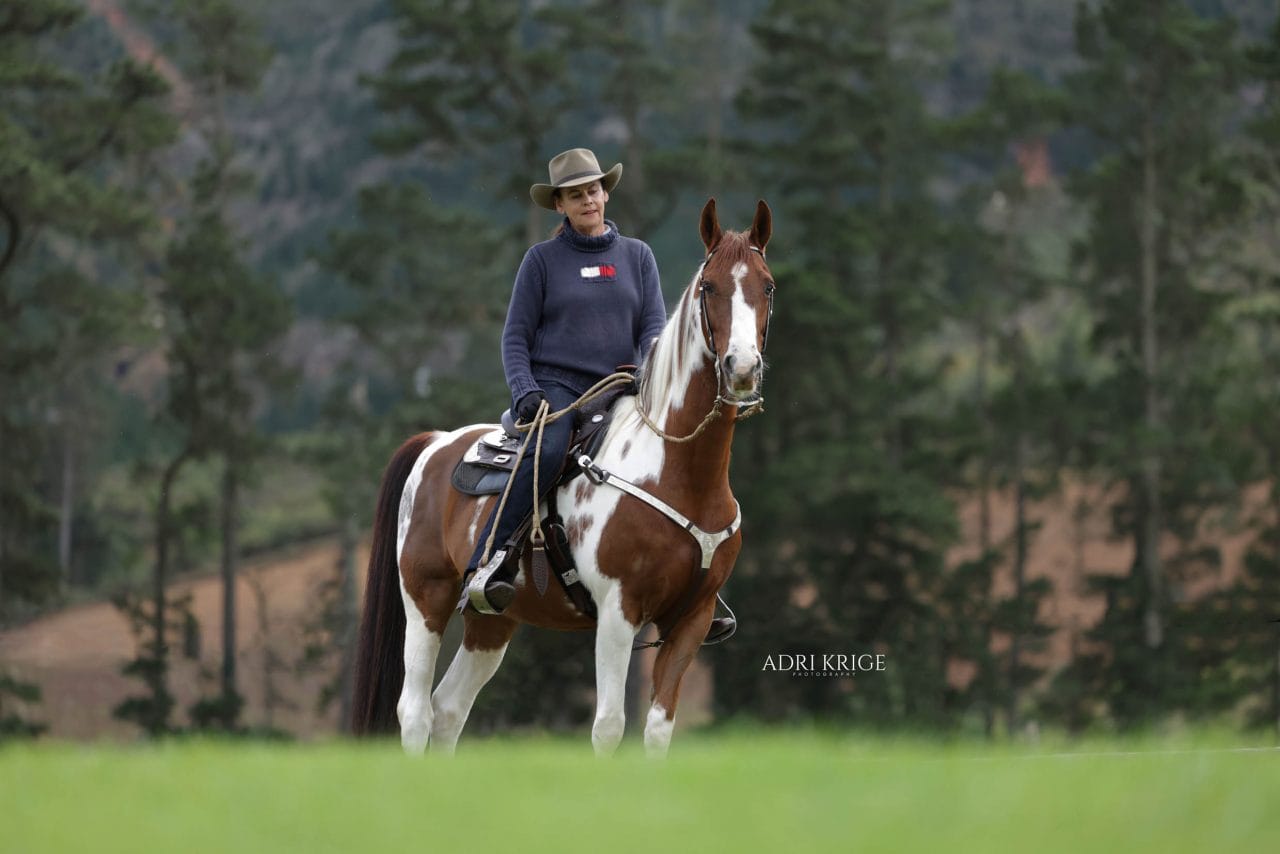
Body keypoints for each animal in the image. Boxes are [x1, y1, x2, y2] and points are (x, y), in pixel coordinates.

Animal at [350, 198, 774, 757]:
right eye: (709, 287)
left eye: (767, 286)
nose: (741, 367)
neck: (681, 472)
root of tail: (436, 442)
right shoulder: (618, 611)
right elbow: (609, 727)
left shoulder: (693, 618)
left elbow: (658, 730)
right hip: (426, 599)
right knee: (416, 712)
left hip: (493, 621)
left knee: (449, 710)